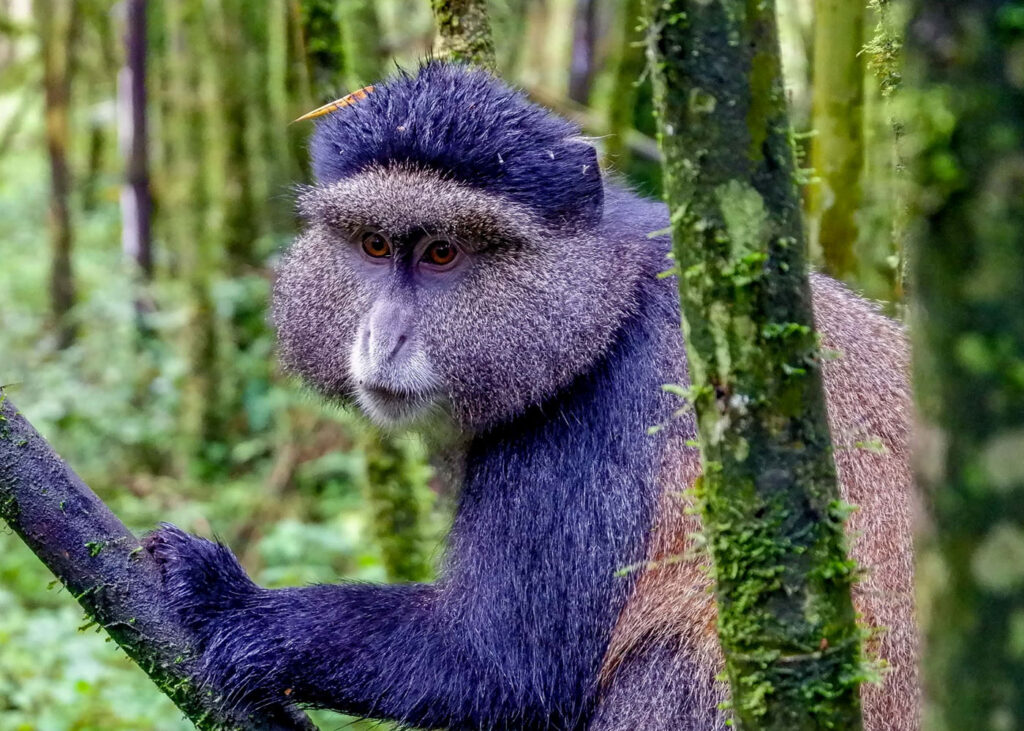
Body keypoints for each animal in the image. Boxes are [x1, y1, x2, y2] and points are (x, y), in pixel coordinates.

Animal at [147, 62, 918, 730]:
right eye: (374, 246)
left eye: (442, 253)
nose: (383, 336)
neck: (609, 305)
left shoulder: (602, 423)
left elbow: (499, 665)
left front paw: (227, 598)